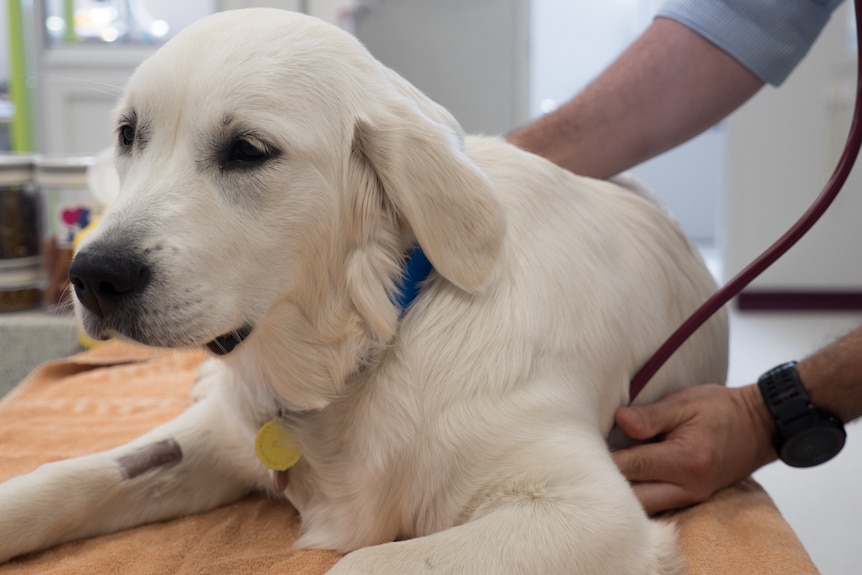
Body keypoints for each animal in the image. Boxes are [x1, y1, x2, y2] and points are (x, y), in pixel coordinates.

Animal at [0, 10, 728, 575]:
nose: (93, 276)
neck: (366, 349)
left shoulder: (590, 511)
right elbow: (71, 476)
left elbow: (364, 561)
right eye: (129, 134)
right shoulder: (220, 433)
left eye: (248, 149)